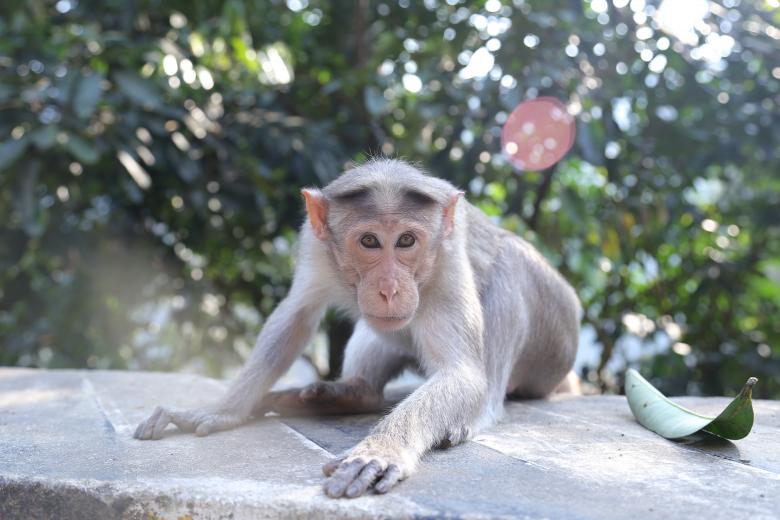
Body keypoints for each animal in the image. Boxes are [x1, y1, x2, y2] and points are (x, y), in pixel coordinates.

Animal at [134, 158, 581, 498]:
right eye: (369, 241)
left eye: (406, 241)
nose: (389, 289)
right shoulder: (314, 242)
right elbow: (294, 317)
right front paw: (223, 411)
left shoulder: (448, 256)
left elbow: (465, 373)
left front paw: (382, 449)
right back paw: (344, 394)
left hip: (554, 343)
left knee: (512, 263)